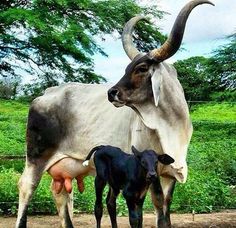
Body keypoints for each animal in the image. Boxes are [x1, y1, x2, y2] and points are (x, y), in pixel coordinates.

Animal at [15, 0, 213, 227]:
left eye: (141, 68)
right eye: (127, 67)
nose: (112, 93)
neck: (169, 124)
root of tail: (46, 93)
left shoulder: (169, 174)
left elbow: (165, 207)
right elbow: (154, 206)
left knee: (61, 195)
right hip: (36, 156)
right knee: (26, 186)